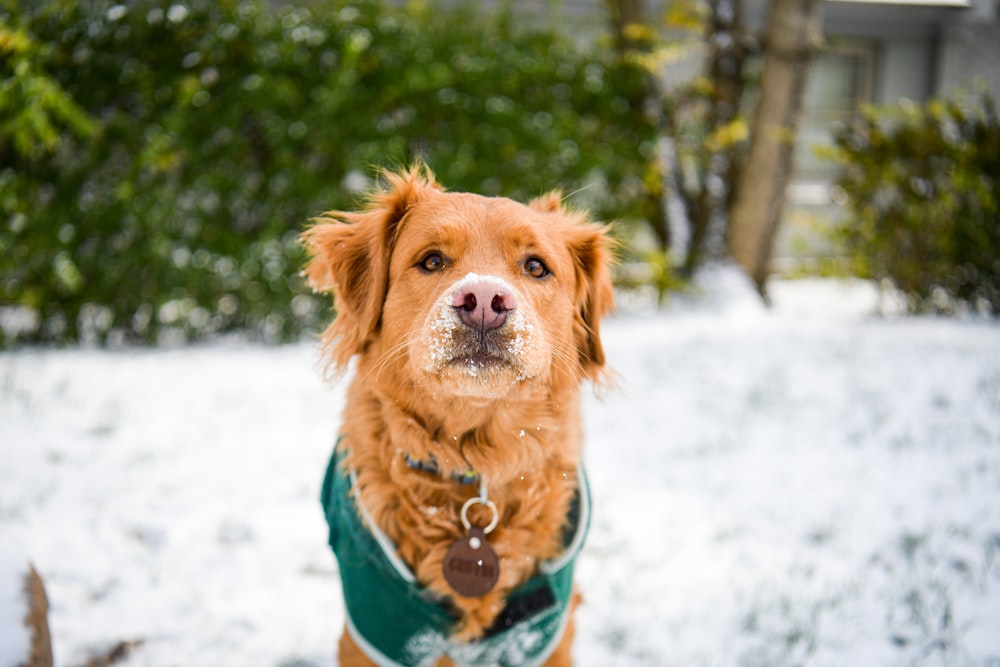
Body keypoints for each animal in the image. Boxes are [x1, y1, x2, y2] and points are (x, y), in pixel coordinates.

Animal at [300, 163, 612, 667]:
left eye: (535, 266)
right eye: (431, 261)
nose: (484, 300)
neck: (474, 461)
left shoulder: (542, 633)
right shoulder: (376, 624)